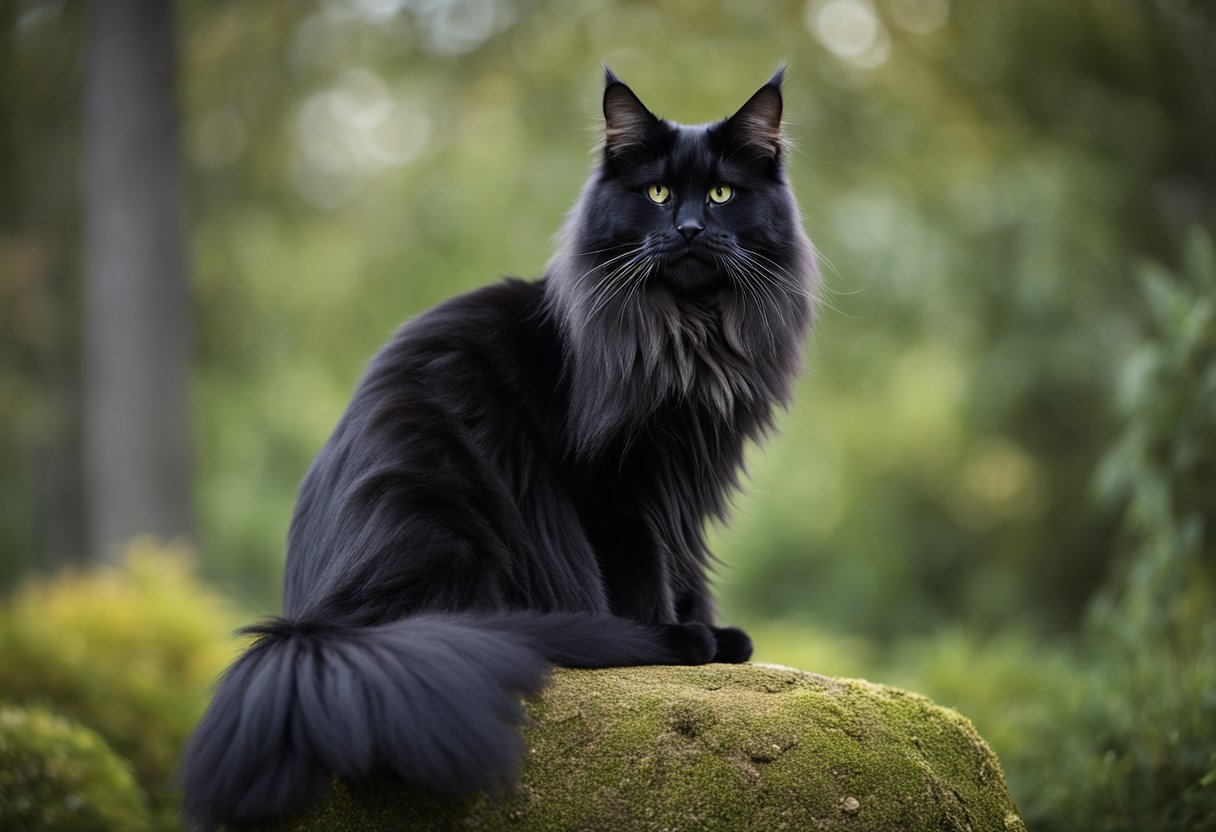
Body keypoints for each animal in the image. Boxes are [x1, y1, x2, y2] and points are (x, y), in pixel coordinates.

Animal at [179, 68, 822, 827]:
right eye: (658, 195)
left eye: (721, 195)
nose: (689, 228)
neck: (687, 335)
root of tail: (316, 628)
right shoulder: (611, 484)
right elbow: (646, 573)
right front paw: (678, 638)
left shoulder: (684, 485)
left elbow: (686, 569)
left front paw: (714, 632)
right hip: (444, 501)